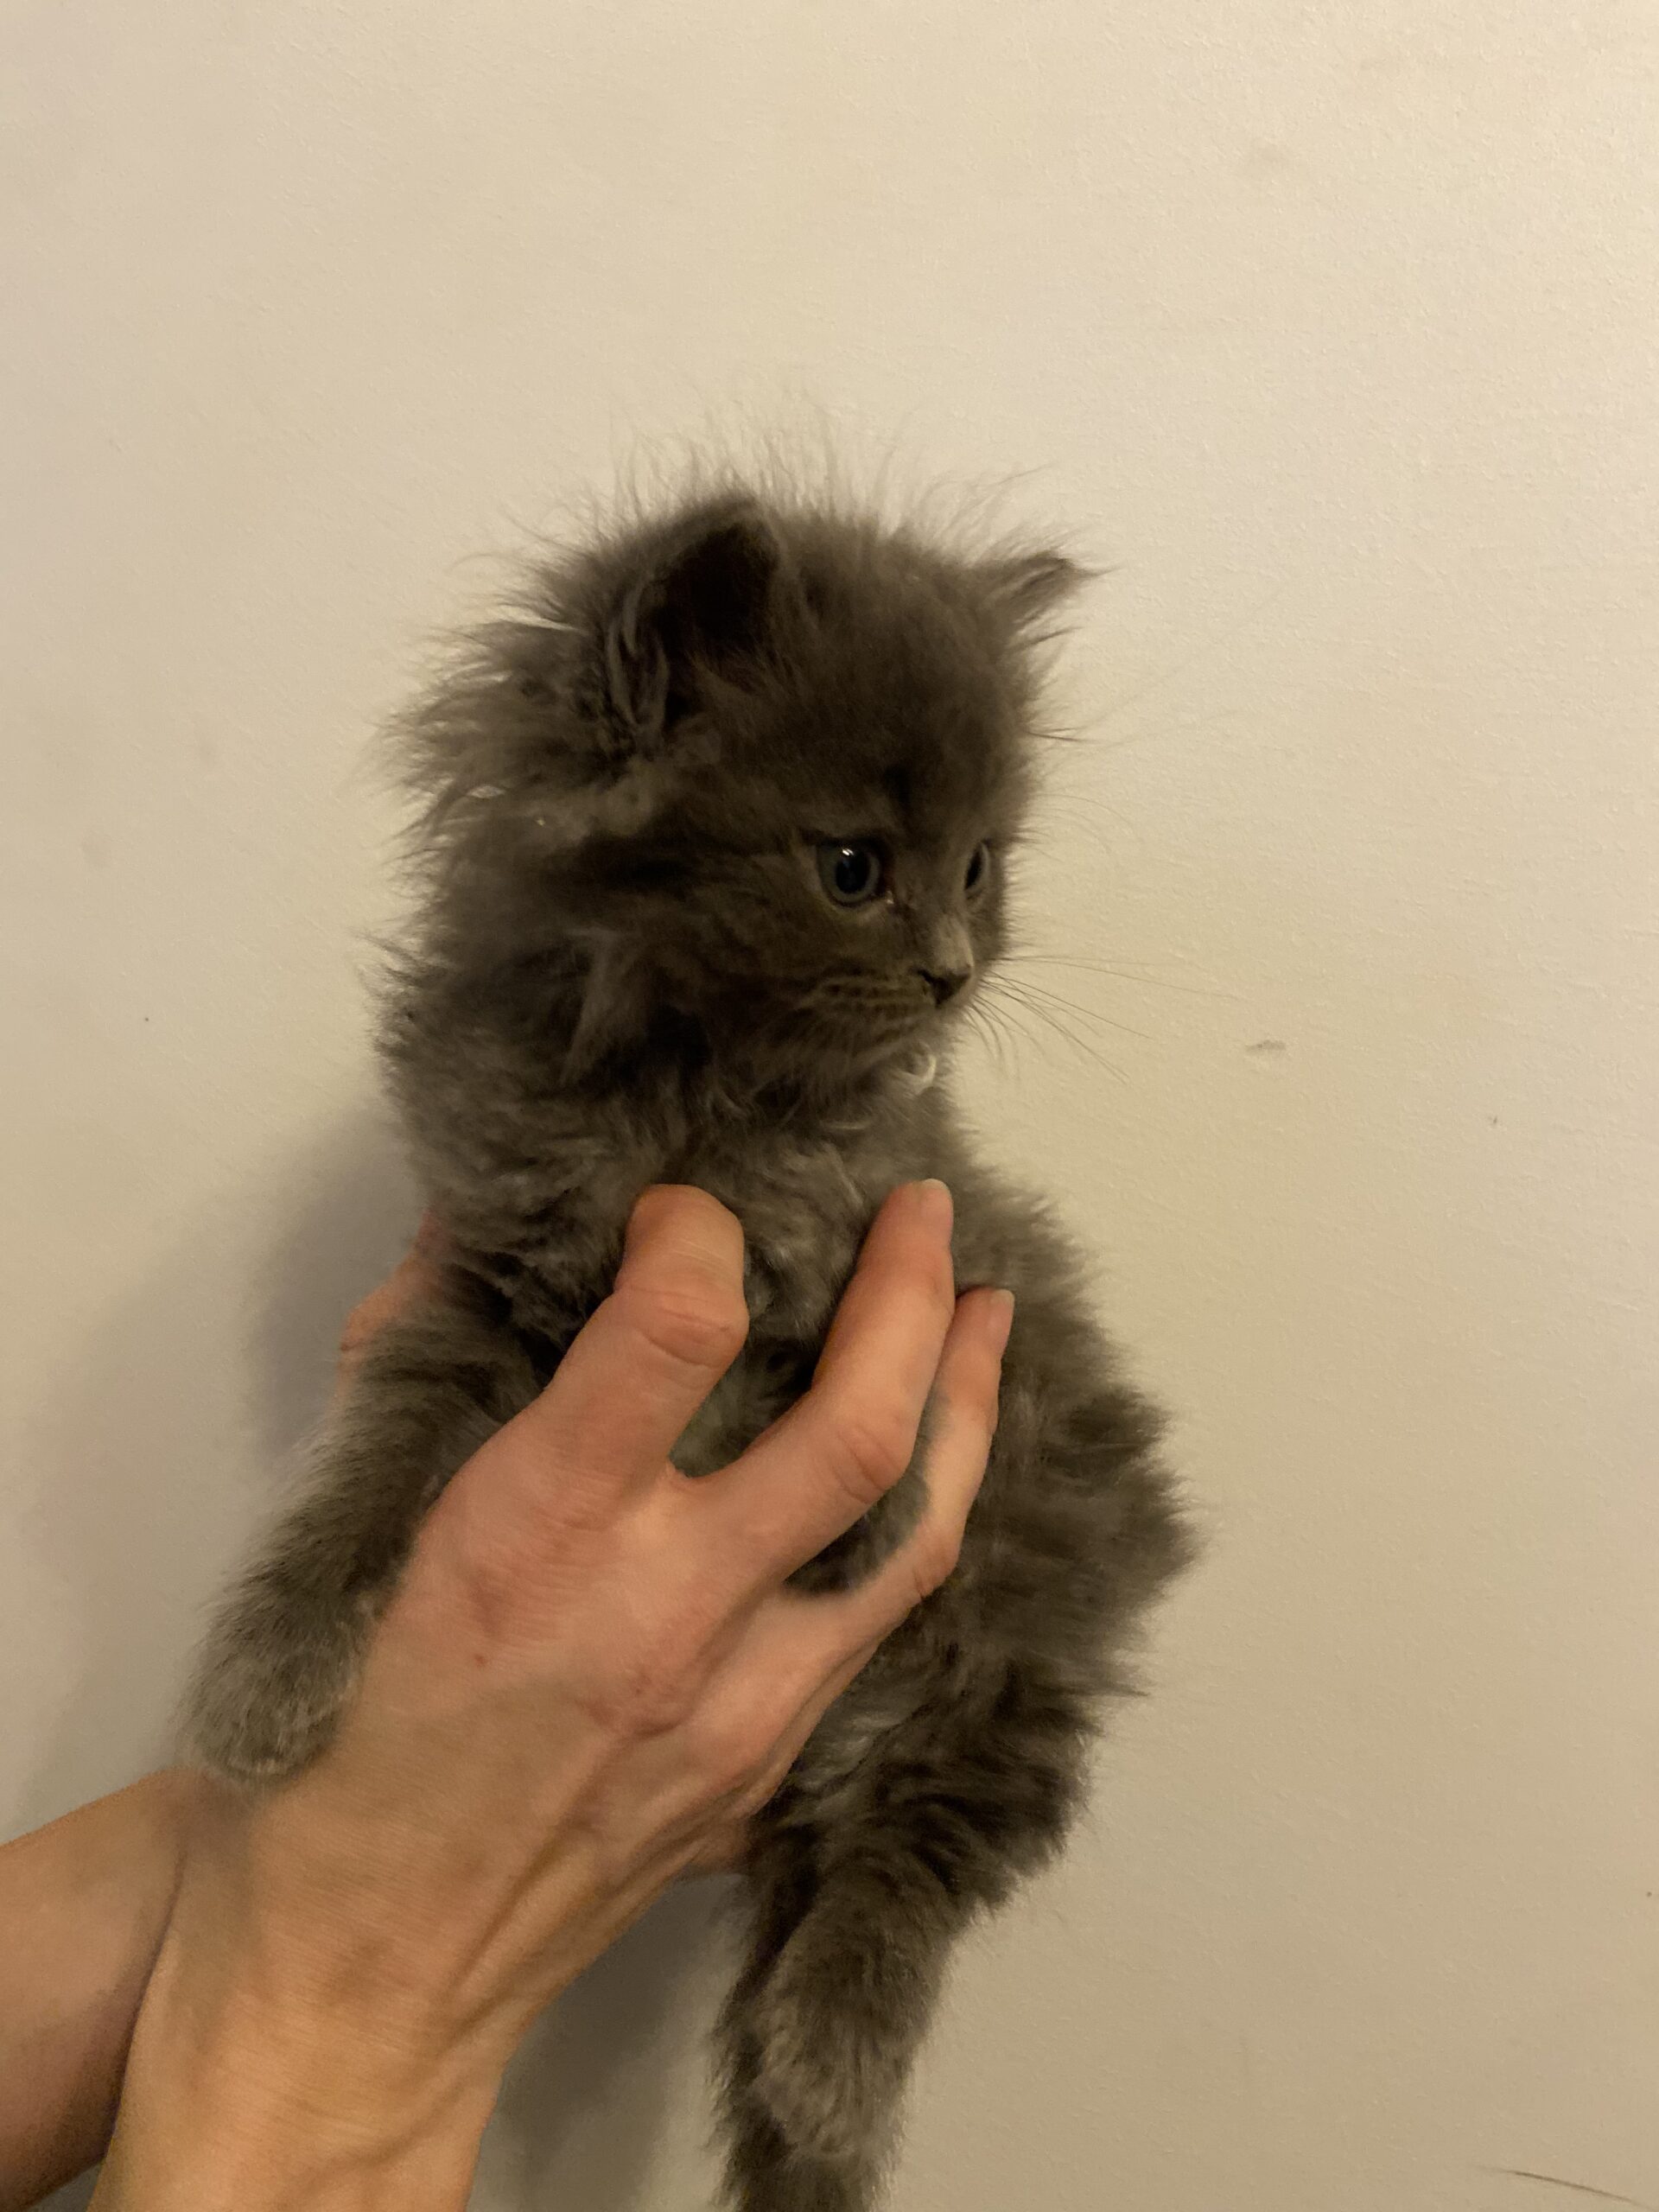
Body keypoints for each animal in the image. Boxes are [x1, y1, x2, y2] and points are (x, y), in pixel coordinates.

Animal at [185, 481, 1192, 2211]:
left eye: (981, 866)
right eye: (855, 865)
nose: (955, 970)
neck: (688, 1084)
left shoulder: (918, 1214)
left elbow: (870, 1340)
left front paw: (864, 1510)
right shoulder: (483, 1279)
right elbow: (366, 1468)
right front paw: (267, 1672)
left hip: (1022, 1628)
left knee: (912, 1866)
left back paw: (835, 2056)